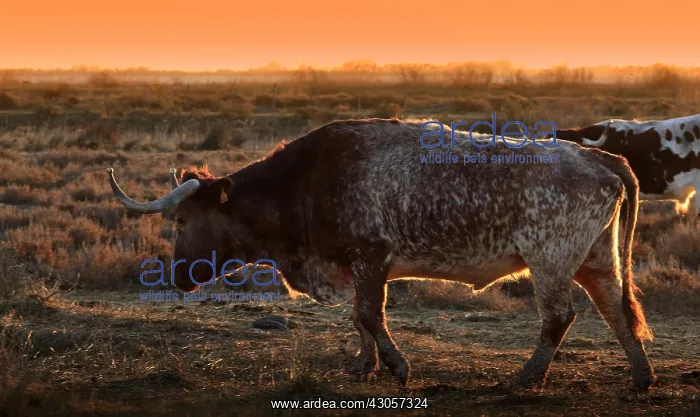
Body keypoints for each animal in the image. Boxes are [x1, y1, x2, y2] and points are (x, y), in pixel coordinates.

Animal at [107, 118, 656, 391]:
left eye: (181, 220)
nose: (179, 276)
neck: (305, 182)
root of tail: (602, 158)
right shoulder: (358, 266)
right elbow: (359, 318)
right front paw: (363, 365)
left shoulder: (370, 258)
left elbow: (370, 316)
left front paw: (396, 366)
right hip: (596, 261)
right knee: (615, 310)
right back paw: (641, 376)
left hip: (551, 261)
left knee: (559, 317)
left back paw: (526, 377)